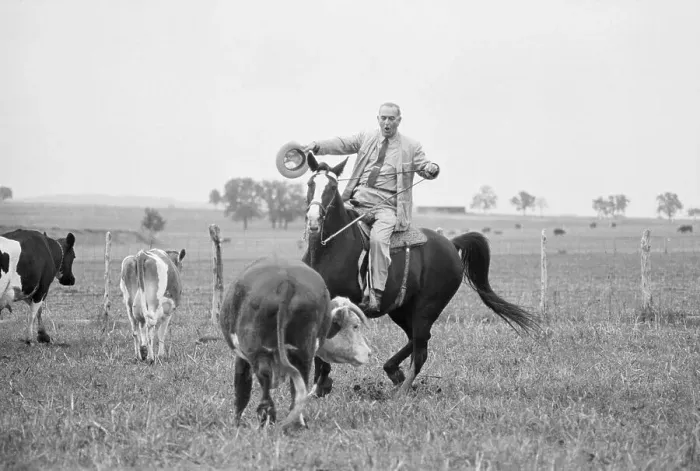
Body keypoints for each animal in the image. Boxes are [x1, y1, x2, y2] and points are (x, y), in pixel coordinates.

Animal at [220, 256, 371, 429]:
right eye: (355, 326)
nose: (368, 353)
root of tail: (287, 283)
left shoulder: (242, 356)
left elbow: (241, 390)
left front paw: (236, 424)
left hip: (258, 350)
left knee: (265, 381)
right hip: (303, 351)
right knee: (299, 387)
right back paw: (297, 423)